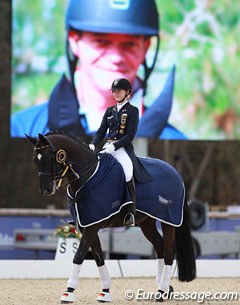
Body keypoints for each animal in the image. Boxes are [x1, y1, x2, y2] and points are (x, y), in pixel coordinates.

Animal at [26, 132, 196, 302]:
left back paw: (161, 291)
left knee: (169, 251)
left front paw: (68, 292)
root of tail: (176, 173)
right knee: (160, 247)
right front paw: (105, 291)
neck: (88, 177)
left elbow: (79, 255)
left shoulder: (92, 226)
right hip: (146, 222)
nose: (46, 190)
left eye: (49, 157)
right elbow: (98, 258)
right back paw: (165, 289)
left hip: (169, 221)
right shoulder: (88, 224)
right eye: (35, 159)